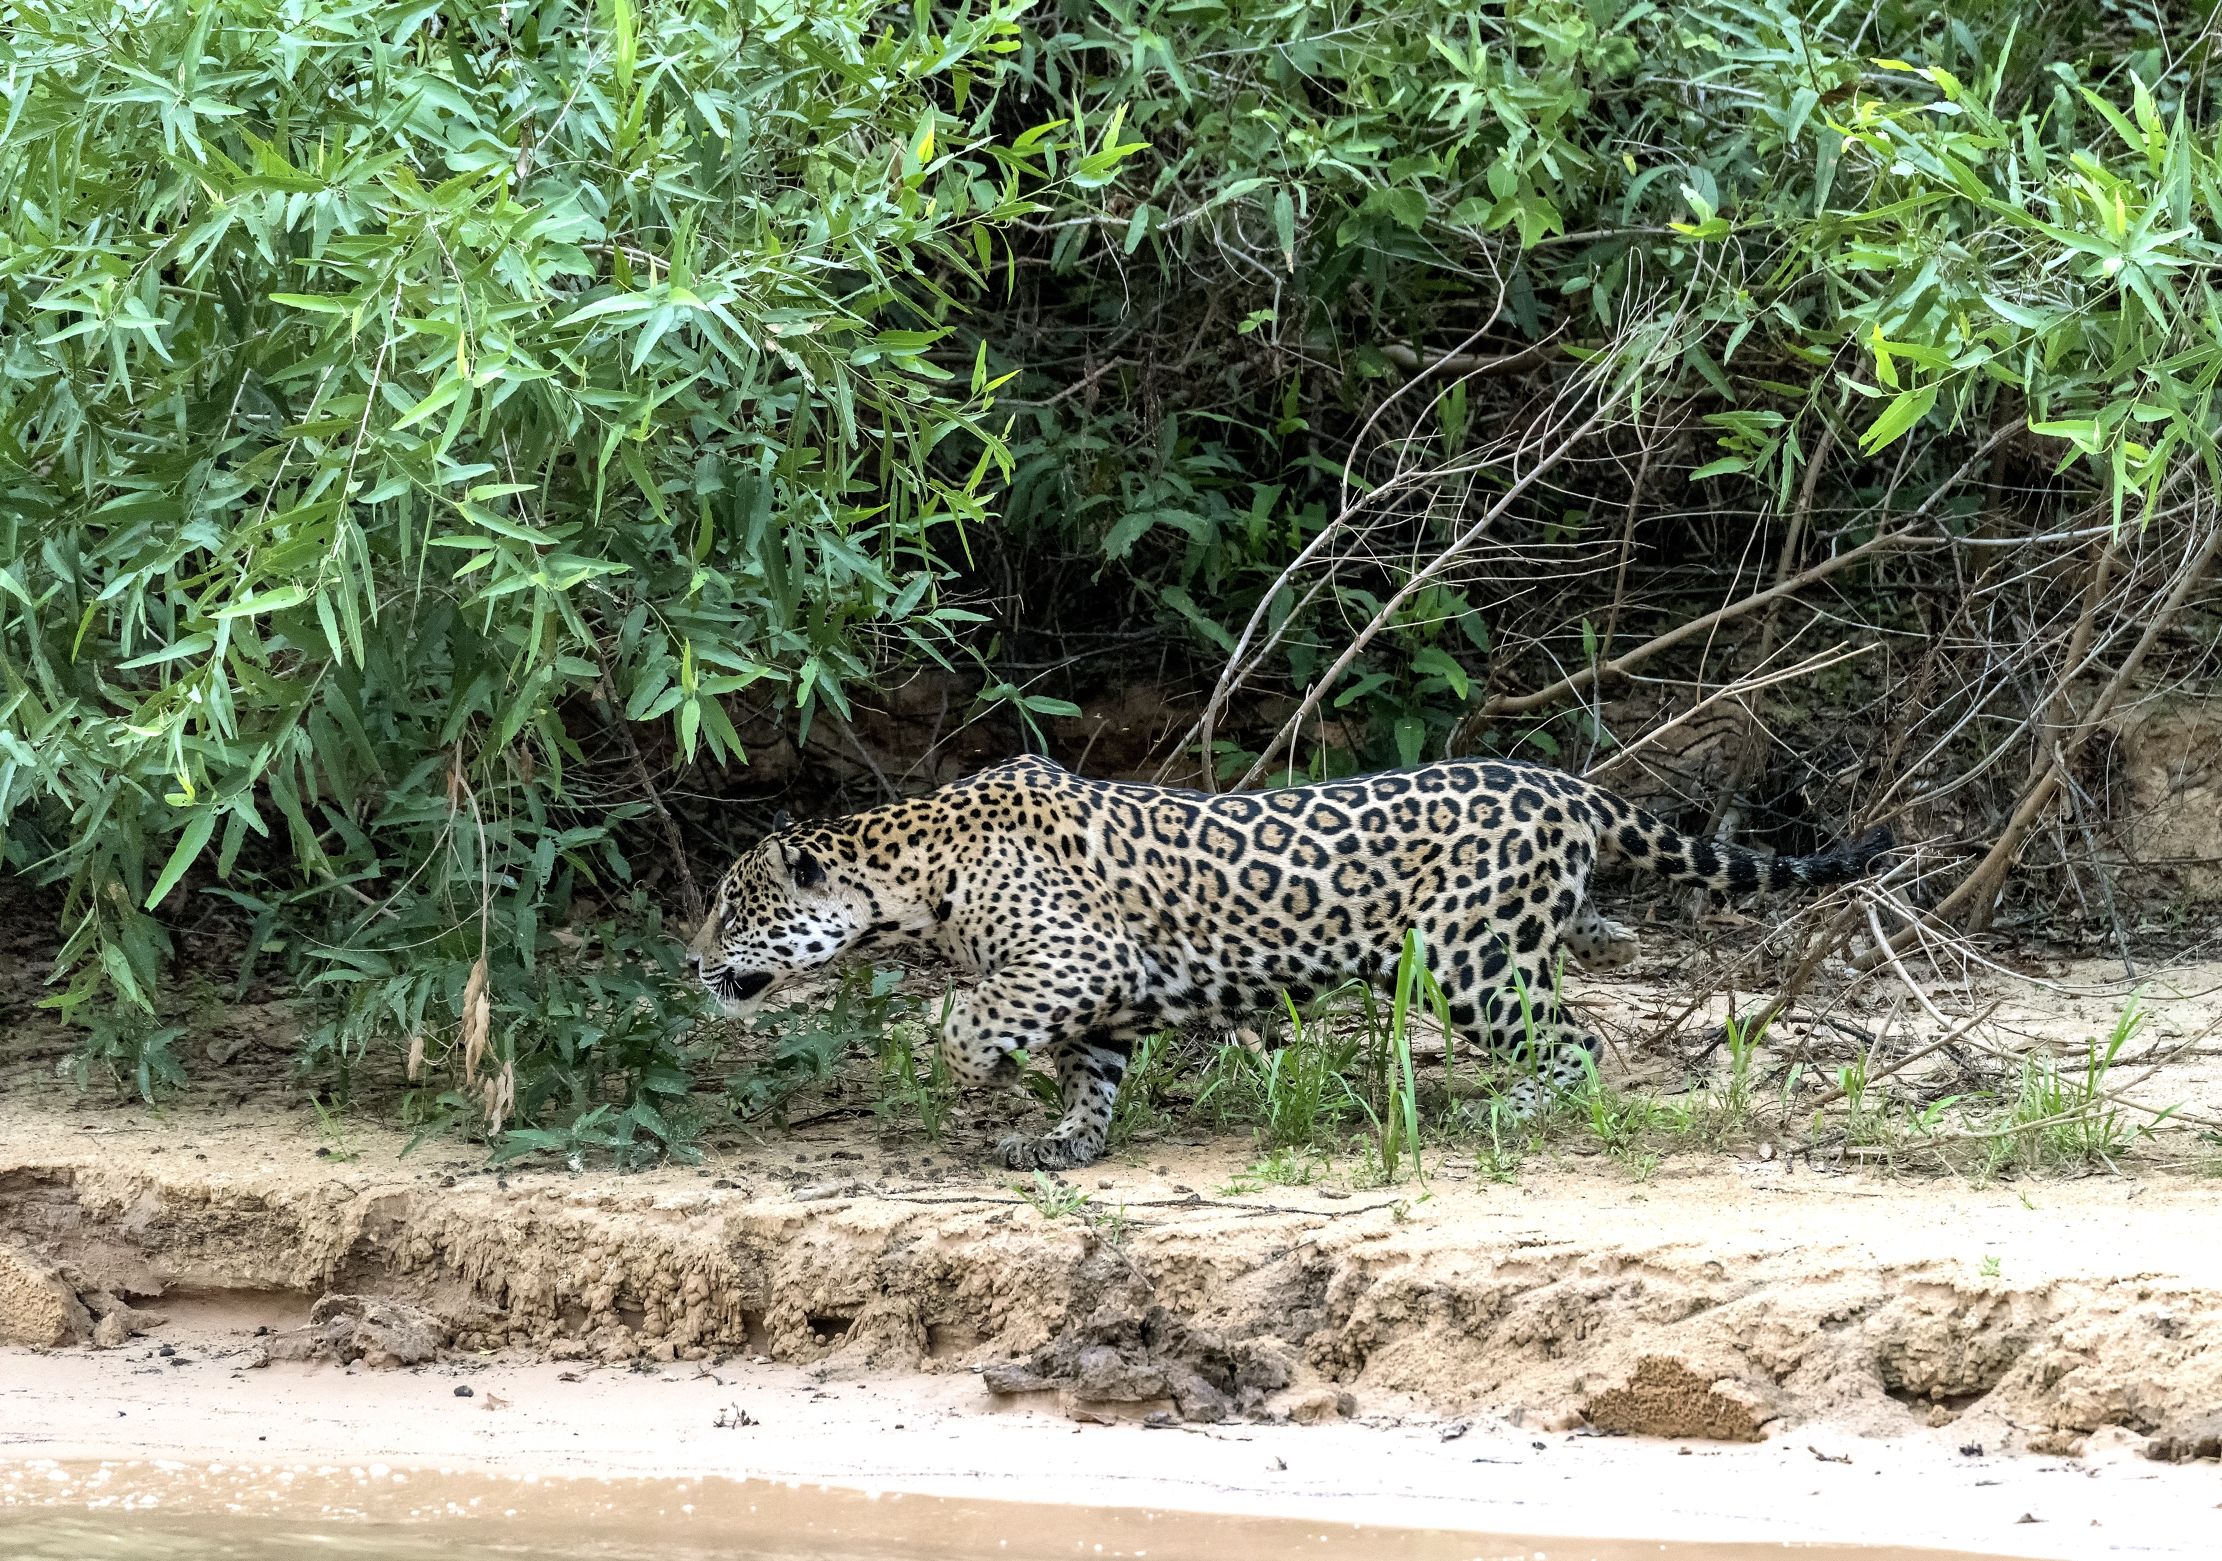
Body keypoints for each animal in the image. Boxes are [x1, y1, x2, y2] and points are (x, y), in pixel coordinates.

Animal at [687, 754, 1891, 1171]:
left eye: (731, 907)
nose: (688, 963)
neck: (909, 876)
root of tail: (1567, 784)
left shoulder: (1075, 958)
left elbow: (971, 1019)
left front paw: (965, 1069)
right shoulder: (1103, 994)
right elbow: (1091, 1074)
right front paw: (1065, 1142)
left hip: (1466, 953)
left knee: (1579, 1040)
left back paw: (1510, 1114)